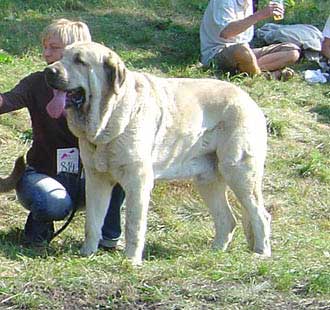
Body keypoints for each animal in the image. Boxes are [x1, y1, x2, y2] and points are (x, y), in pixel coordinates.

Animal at [44, 40, 270, 264]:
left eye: (80, 61)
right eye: (61, 56)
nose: (48, 71)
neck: (110, 115)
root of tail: (249, 100)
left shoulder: (137, 181)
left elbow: (133, 225)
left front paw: (131, 261)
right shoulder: (96, 179)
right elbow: (92, 221)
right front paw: (87, 253)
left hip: (239, 172)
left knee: (260, 214)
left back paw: (261, 253)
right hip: (208, 180)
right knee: (227, 219)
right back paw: (215, 252)